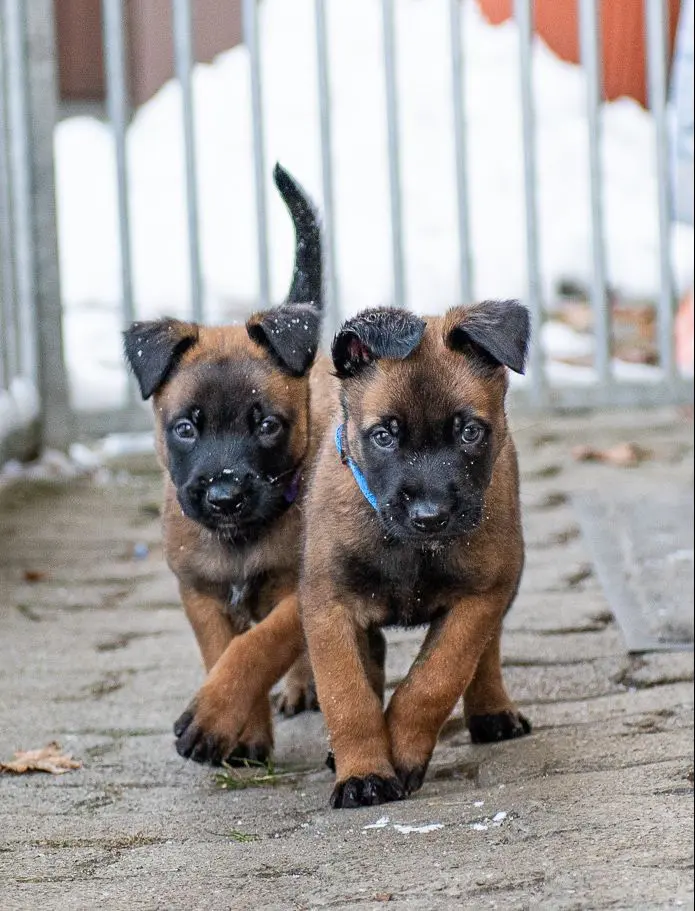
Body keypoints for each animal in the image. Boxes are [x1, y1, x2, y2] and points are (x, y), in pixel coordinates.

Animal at [123, 166, 336, 768]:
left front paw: (216, 717)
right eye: (185, 429)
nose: (223, 497)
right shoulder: (200, 592)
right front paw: (241, 734)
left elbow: (260, 645)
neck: (242, 537)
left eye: (267, 426)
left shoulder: (304, 586)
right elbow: (223, 650)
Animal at [300, 302, 532, 808]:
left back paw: (493, 711)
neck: (412, 548)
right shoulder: (328, 605)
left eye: (469, 432)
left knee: (487, 650)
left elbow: (435, 680)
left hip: (507, 574)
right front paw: (363, 772)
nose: (430, 517)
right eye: (384, 436)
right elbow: (347, 694)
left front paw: (403, 750)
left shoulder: (479, 597)